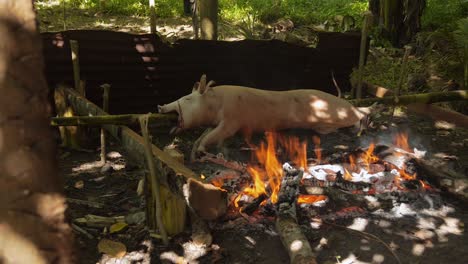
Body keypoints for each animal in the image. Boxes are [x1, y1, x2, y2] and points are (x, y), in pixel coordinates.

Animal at [159, 73, 372, 155]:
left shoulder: (232, 120)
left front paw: (202, 150)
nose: (160, 106)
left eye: (188, 98)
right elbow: (205, 134)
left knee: (362, 114)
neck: (216, 103)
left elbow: (217, 134)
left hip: (342, 113)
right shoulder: (215, 122)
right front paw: (195, 148)